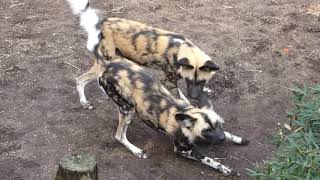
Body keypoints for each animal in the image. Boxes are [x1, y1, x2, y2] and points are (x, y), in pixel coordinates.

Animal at [65, 0, 220, 109]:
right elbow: (180, 99)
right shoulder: (169, 81)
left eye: (202, 81)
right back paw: (88, 101)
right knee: (83, 79)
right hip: (110, 59)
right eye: (188, 80)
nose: (194, 96)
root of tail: (100, 22)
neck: (183, 49)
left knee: (82, 79)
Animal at [94, 57, 249, 176]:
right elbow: (210, 160)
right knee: (119, 136)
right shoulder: (183, 150)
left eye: (219, 125)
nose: (221, 139)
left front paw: (238, 139)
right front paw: (226, 170)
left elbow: (227, 134)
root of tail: (106, 66)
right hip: (129, 108)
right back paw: (136, 150)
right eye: (207, 130)